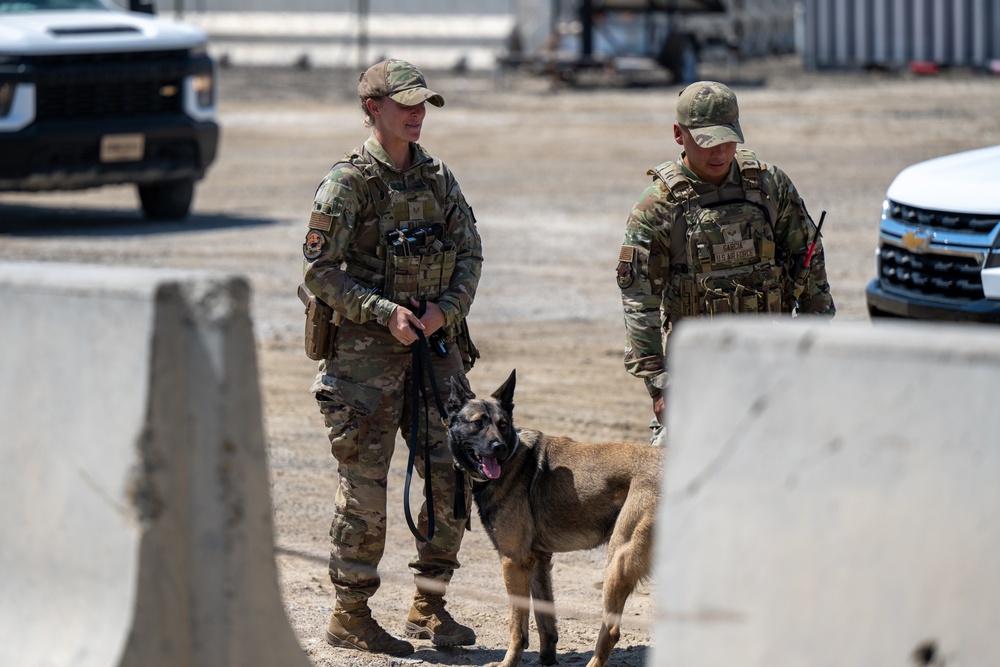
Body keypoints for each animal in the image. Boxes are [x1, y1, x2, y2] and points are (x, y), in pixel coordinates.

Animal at [448, 370, 664, 667]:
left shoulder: (514, 561)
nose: (499, 447)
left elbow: (517, 625)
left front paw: (508, 662)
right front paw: (546, 660)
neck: (513, 459)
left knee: (611, 630)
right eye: (478, 423)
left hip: (618, 560)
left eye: (503, 425)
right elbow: (545, 621)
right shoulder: (539, 560)